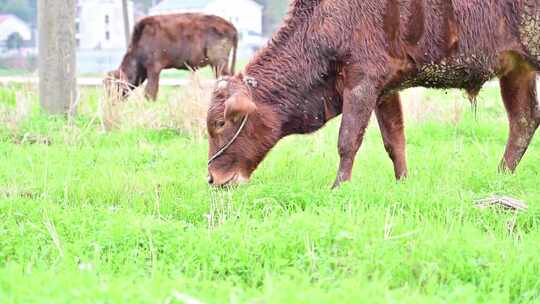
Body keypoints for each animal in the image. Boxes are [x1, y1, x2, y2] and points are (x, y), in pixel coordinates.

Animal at [106, 12, 237, 100]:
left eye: (115, 86)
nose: (110, 102)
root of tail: (230, 26)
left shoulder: (154, 69)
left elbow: (150, 91)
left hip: (218, 63)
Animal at [206, 0, 540, 186]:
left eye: (221, 123)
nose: (212, 178)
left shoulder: (361, 82)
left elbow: (348, 140)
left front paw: (338, 186)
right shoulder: (384, 91)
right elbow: (395, 140)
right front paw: (402, 183)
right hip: (517, 70)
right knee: (523, 121)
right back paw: (501, 176)